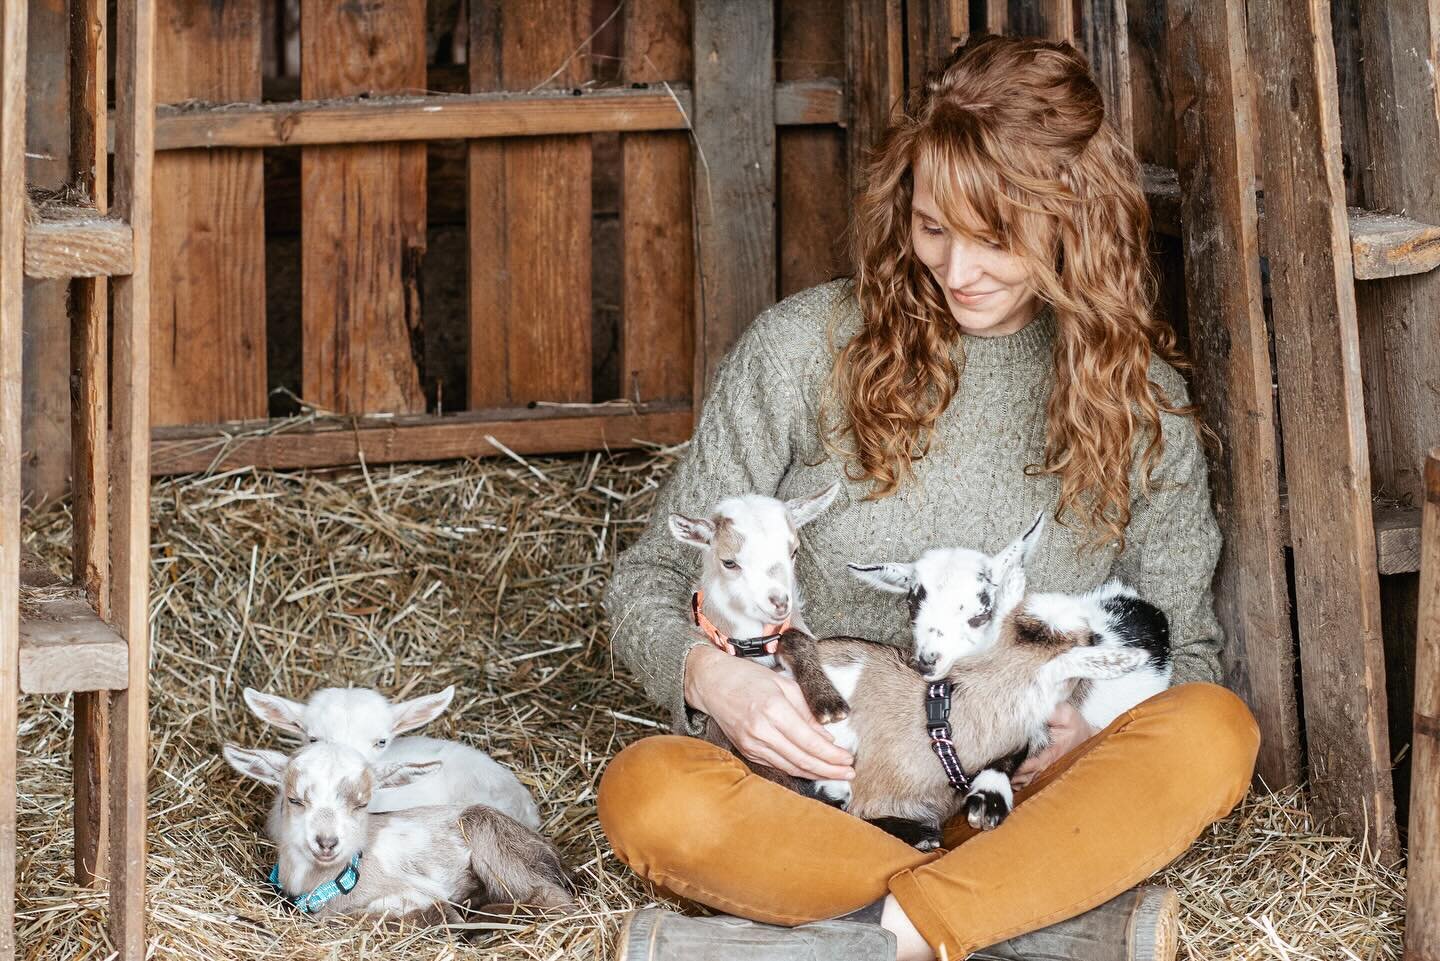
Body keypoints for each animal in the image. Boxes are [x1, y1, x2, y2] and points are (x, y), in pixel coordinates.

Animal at [224, 743, 573, 922]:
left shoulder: (416, 892)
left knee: (554, 900)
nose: (327, 842)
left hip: (488, 833)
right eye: (295, 799)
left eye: (362, 804)